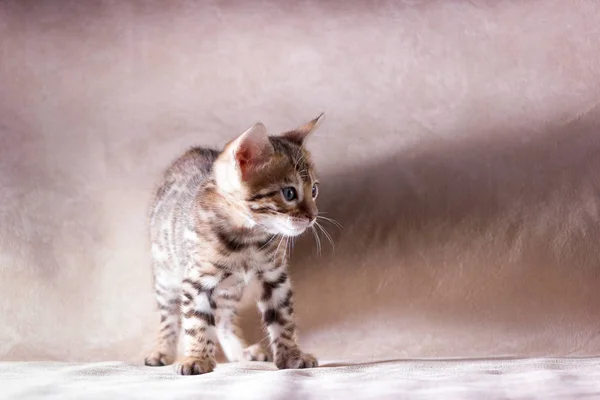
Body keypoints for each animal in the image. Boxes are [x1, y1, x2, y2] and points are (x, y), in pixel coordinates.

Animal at [144, 113, 324, 376]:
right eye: (289, 193)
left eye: (314, 190)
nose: (313, 216)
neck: (247, 240)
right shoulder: (196, 281)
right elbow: (196, 321)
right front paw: (196, 358)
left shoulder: (275, 277)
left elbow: (283, 319)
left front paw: (292, 356)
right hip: (165, 277)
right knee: (170, 318)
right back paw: (162, 352)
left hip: (230, 290)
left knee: (223, 320)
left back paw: (242, 352)